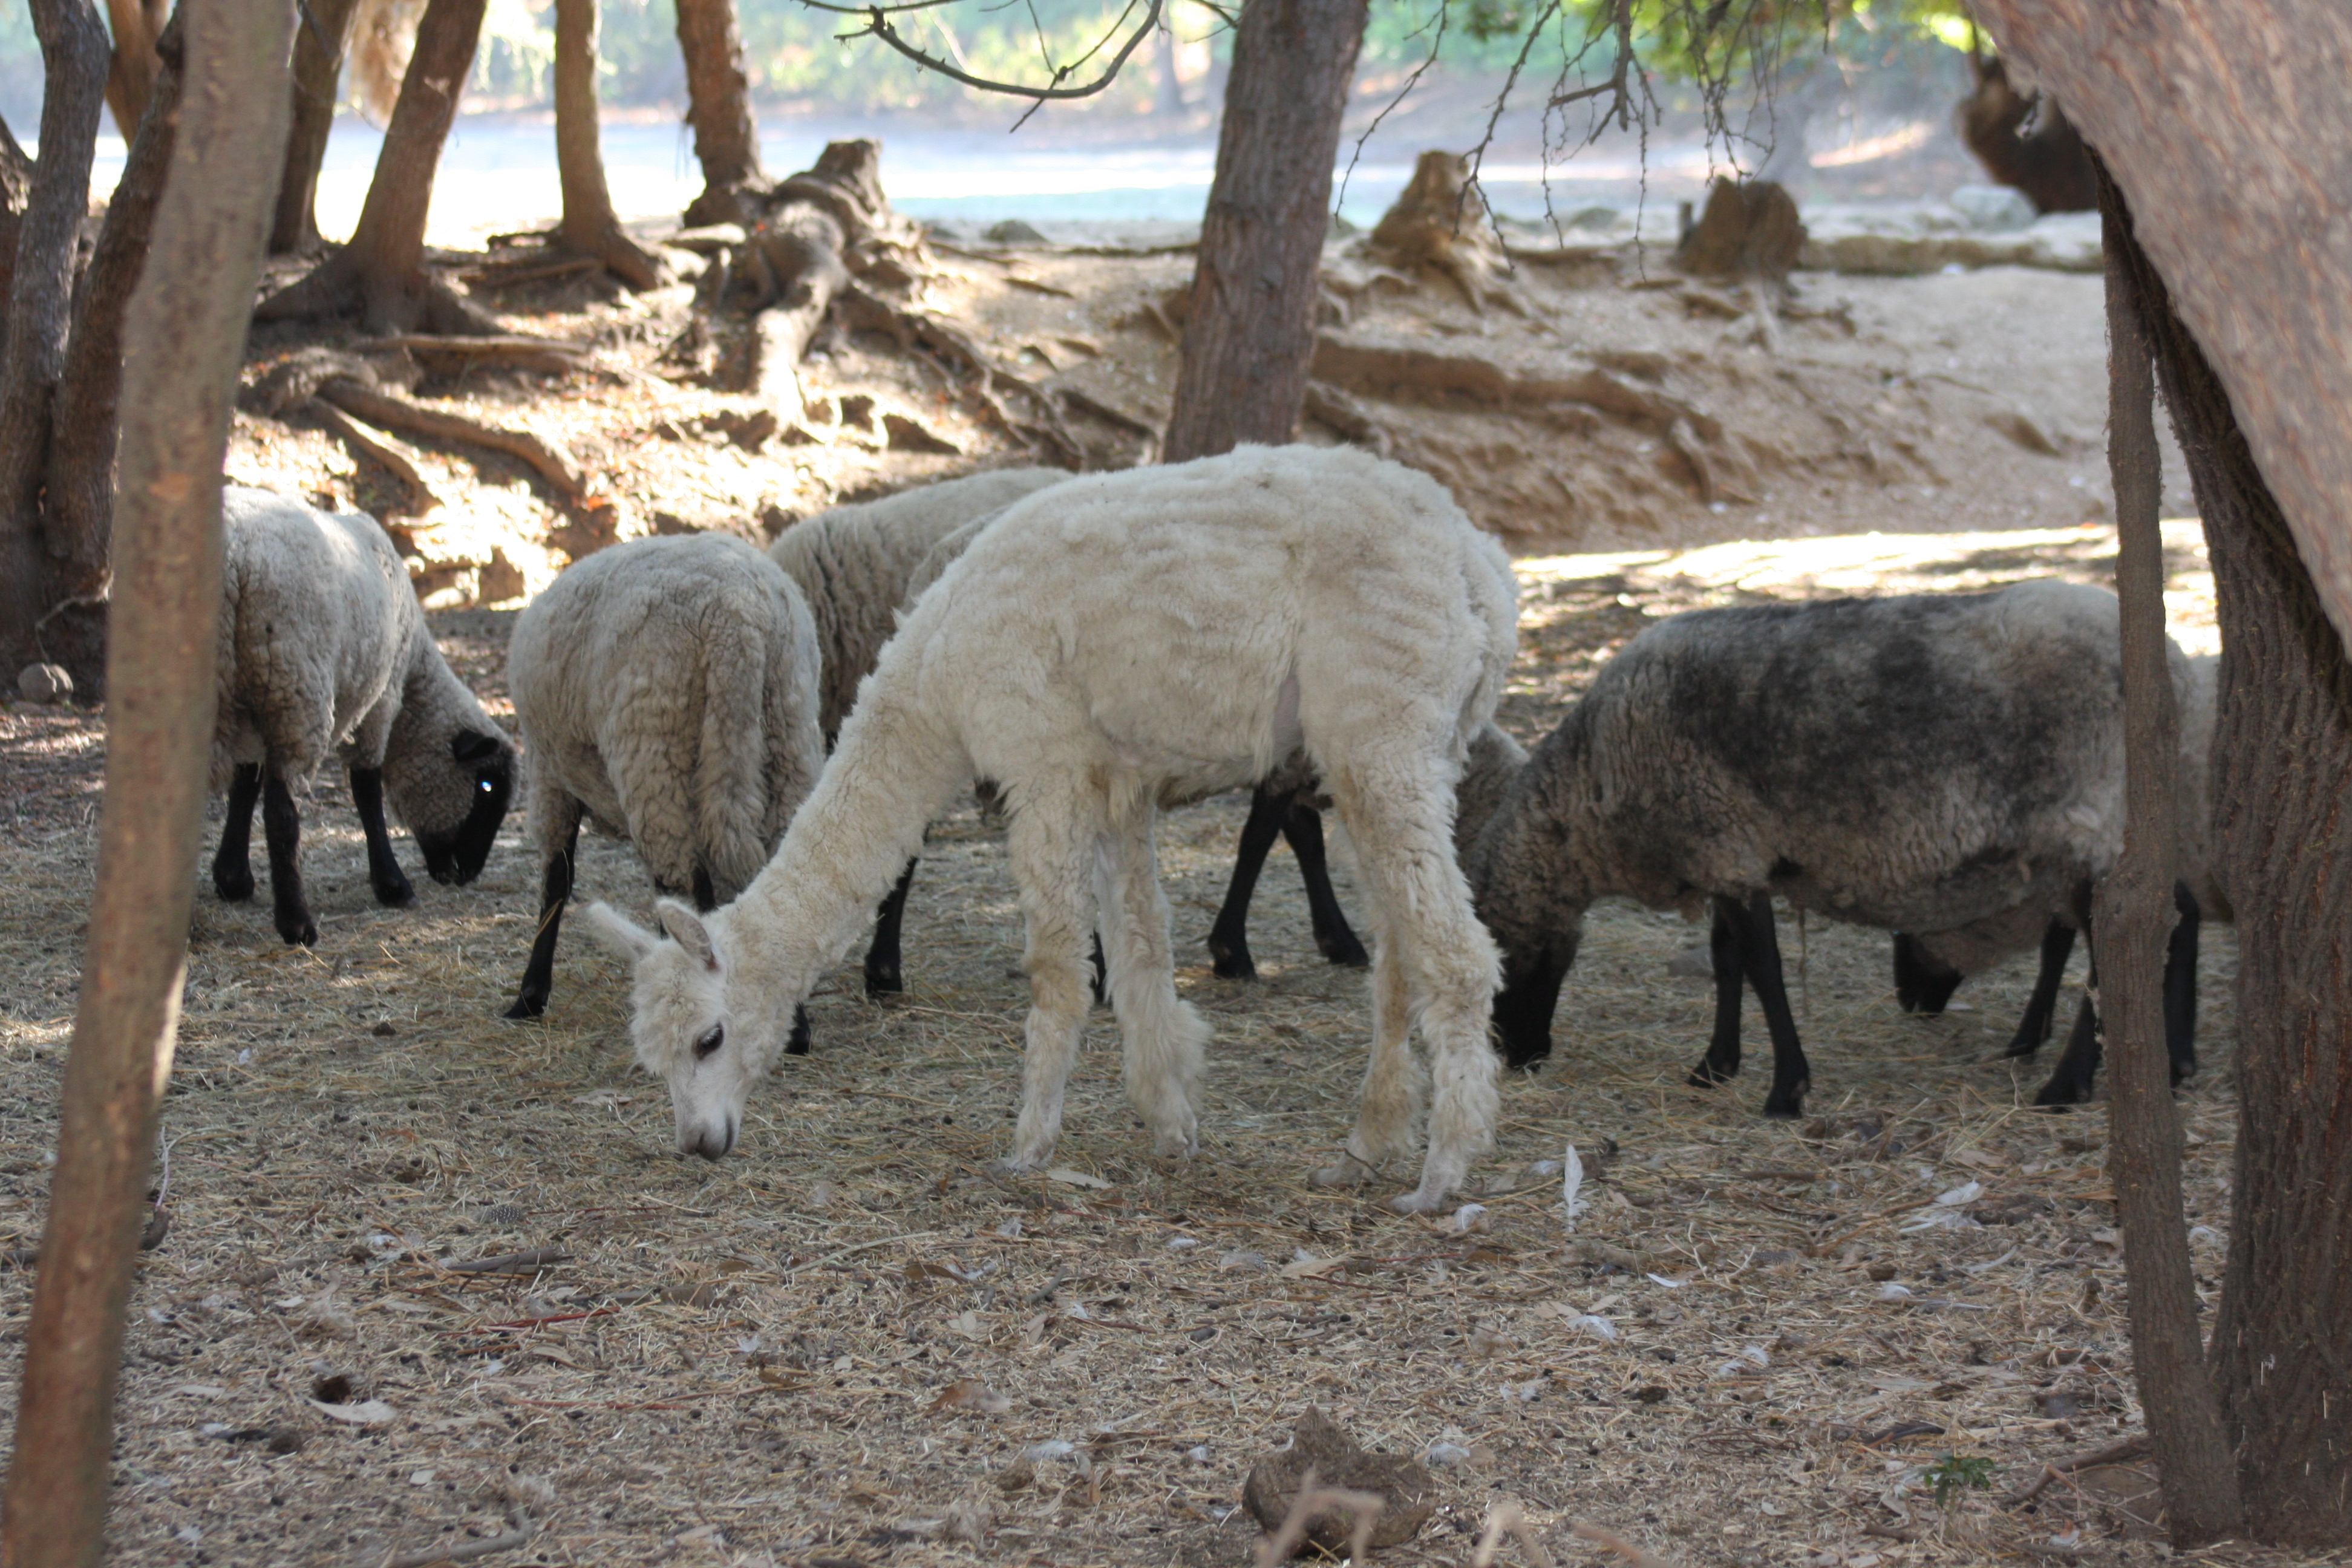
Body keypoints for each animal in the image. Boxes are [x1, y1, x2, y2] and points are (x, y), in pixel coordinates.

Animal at [501, 531, 823, 1030]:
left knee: (681, 884)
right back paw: (793, 1024)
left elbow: (557, 877)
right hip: (785, 734)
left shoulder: (547, 773)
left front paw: (530, 996)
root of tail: (738, 623)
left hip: (653, 747)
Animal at [578, 444, 1514, 1213]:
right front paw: (1171, 1126)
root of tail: (1482, 565)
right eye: (651, 1060)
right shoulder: (1117, 783)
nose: (699, 1144)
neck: (936, 685)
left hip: (1381, 729)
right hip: (1386, 754)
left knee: (1460, 953)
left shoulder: (1045, 765)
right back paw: (1362, 1152)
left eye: (710, 1038)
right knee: (1400, 955)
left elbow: (1061, 968)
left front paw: (1028, 1146)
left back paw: (1441, 1175)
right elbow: (1140, 953)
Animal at [1458, 583, 2192, 1123]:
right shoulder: (1728, 854)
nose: (1525, 1057)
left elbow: (1763, 967)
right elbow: (1729, 961)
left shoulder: (1724, 843)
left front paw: (1786, 1090)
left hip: (2095, 818)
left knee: (2122, 941)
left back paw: (2068, 1086)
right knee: (2166, 919)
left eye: (1503, 977)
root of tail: (2177, 667)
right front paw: (1714, 1066)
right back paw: (2172, 1064)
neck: (1592, 786)